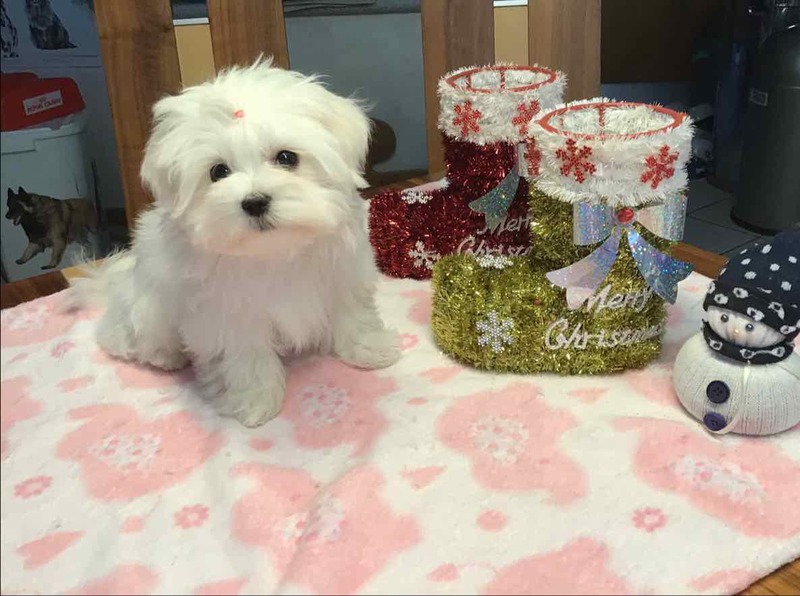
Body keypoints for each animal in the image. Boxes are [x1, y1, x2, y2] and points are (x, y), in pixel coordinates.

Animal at [71, 60, 401, 427]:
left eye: (287, 157)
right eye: (218, 172)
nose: (254, 202)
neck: (274, 249)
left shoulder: (342, 274)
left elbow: (352, 312)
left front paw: (370, 349)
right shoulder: (229, 313)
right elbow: (247, 355)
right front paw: (256, 400)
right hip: (147, 311)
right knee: (126, 338)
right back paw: (165, 357)